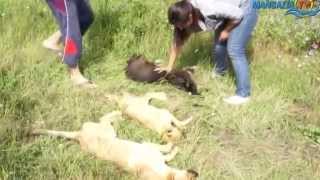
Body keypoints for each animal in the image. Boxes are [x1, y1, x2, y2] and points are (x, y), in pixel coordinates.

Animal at [32, 111, 198, 180]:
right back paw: (118, 114)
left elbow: (169, 155)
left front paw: (175, 147)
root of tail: (79, 135)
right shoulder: (148, 146)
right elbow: (166, 147)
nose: (196, 173)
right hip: (107, 130)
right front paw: (173, 142)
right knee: (104, 117)